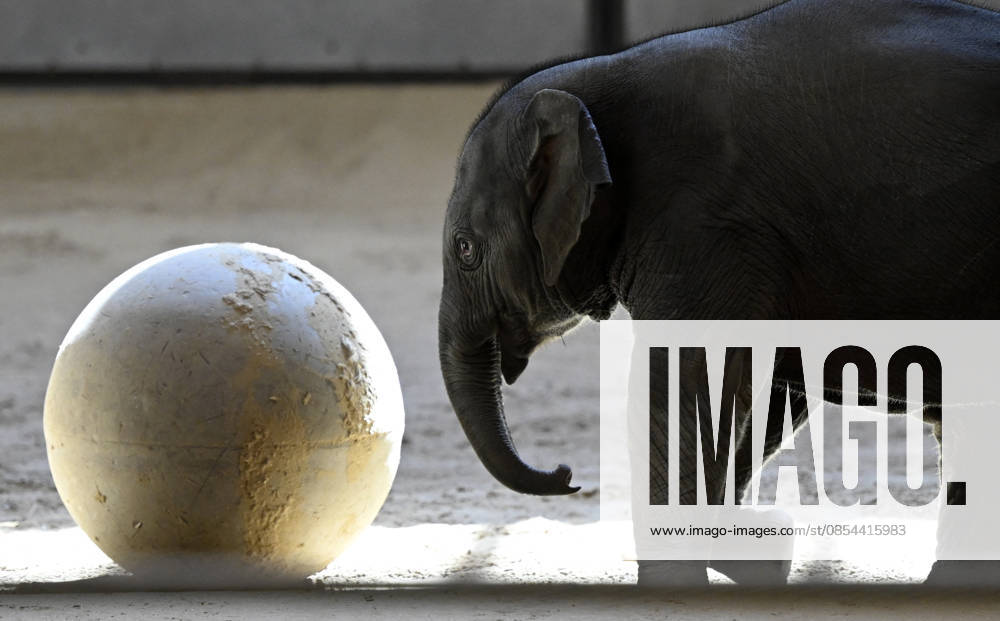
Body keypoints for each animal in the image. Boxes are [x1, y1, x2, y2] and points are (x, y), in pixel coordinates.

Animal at [437, 0, 1000, 585]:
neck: (601, 74)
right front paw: (759, 551)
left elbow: (685, 384)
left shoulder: (703, 228)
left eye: (464, 249)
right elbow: (761, 393)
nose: (567, 475)